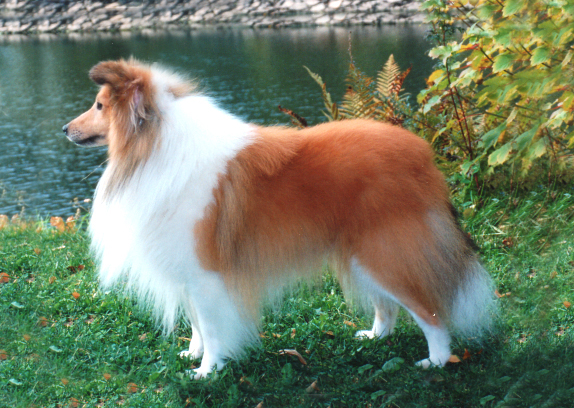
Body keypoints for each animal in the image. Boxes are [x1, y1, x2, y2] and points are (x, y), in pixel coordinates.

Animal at [62, 58, 496, 380]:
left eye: (99, 106)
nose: (65, 128)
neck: (155, 148)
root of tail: (423, 156)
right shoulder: (186, 269)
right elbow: (197, 323)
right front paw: (193, 354)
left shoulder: (206, 274)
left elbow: (212, 326)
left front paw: (207, 371)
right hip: (361, 253)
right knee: (386, 306)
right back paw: (374, 336)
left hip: (386, 251)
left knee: (431, 311)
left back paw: (436, 360)